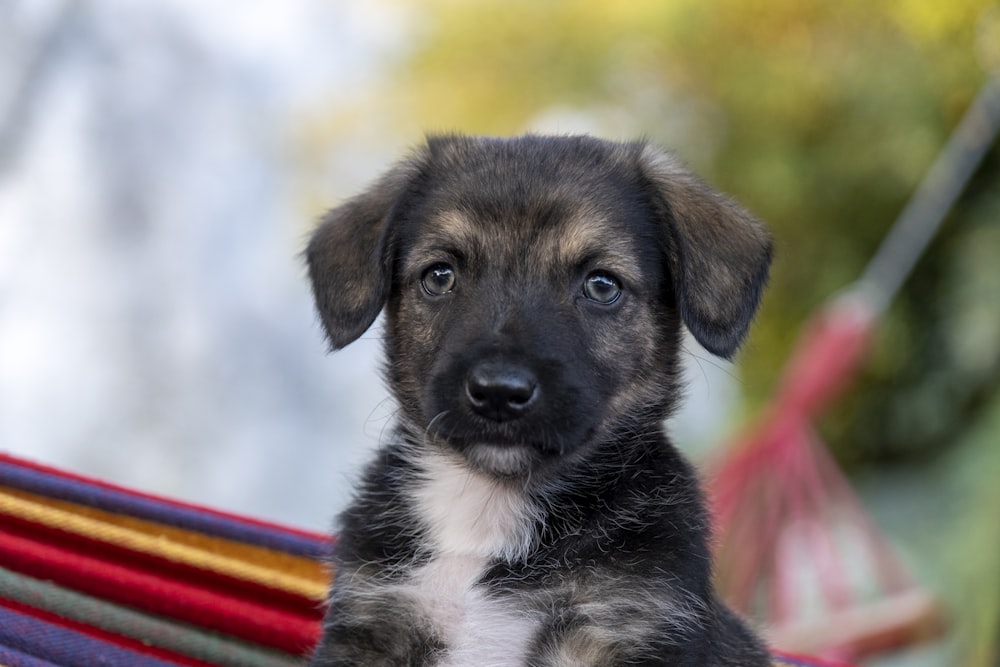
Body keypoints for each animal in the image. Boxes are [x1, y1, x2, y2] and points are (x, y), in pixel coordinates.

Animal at [304, 133, 772, 664]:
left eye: (602, 285)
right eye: (439, 276)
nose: (498, 392)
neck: (488, 509)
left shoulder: (622, 626)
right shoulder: (374, 618)